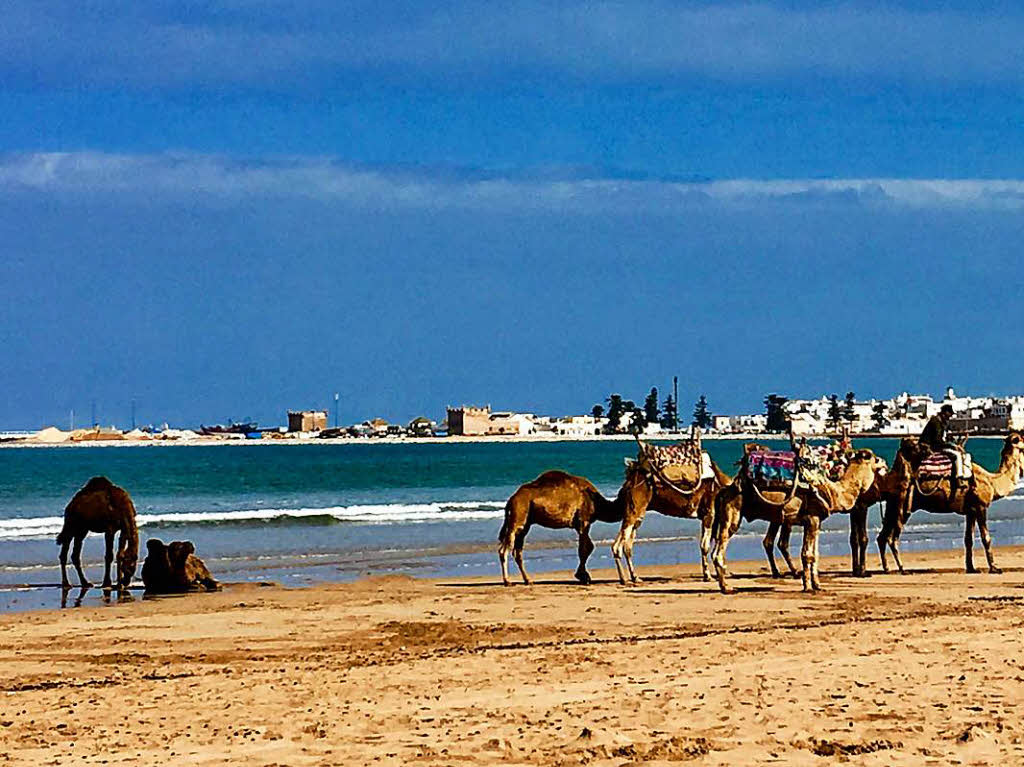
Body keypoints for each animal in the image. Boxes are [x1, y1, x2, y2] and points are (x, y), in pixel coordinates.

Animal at [497, 460, 655, 585]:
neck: (597, 503)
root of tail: (511, 500)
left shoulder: (581, 524)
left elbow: (588, 547)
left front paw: (583, 575)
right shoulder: (583, 522)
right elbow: (585, 548)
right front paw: (583, 577)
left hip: (526, 523)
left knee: (517, 551)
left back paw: (528, 580)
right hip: (518, 516)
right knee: (505, 548)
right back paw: (507, 581)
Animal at [606, 442, 737, 581]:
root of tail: (628, 482)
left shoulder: (715, 517)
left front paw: (718, 573)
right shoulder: (709, 513)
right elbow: (705, 546)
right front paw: (708, 575)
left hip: (638, 512)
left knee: (626, 545)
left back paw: (632, 577)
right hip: (634, 508)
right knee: (619, 546)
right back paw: (625, 578)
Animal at [708, 448, 884, 593]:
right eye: (874, 458)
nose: (884, 462)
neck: (834, 492)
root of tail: (724, 491)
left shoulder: (816, 522)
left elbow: (815, 554)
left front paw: (817, 585)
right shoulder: (812, 519)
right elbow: (807, 554)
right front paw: (807, 587)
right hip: (733, 512)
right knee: (719, 550)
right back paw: (727, 587)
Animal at [872, 430, 1024, 573]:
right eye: (1022, 446)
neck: (992, 481)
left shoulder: (971, 511)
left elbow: (968, 539)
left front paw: (971, 568)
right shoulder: (980, 507)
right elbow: (986, 537)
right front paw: (994, 568)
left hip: (893, 505)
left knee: (882, 536)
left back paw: (887, 568)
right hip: (902, 504)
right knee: (891, 537)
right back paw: (902, 569)